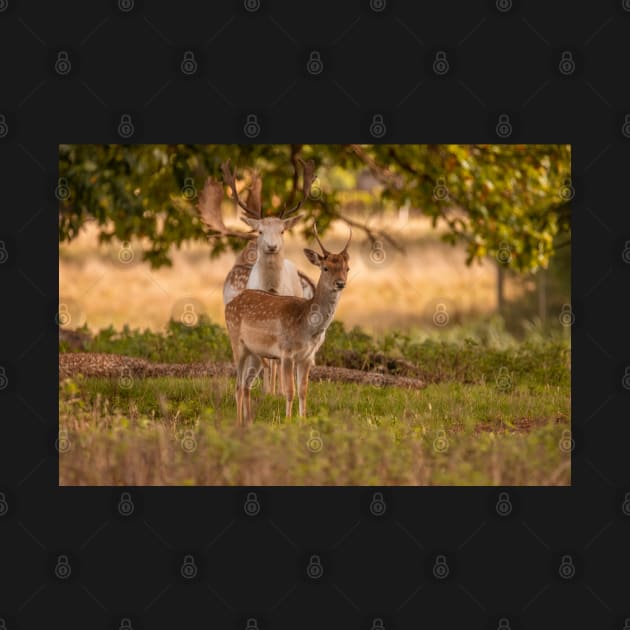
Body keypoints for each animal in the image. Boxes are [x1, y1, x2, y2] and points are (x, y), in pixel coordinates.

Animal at [225, 225, 354, 428]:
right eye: (325, 268)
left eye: (347, 268)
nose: (340, 283)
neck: (306, 327)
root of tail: (230, 304)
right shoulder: (286, 352)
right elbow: (289, 391)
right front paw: (287, 422)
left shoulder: (307, 356)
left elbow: (303, 391)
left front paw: (303, 421)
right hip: (236, 340)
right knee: (238, 385)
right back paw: (238, 423)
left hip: (255, 353)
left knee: (246, 385)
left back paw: (249, 422)